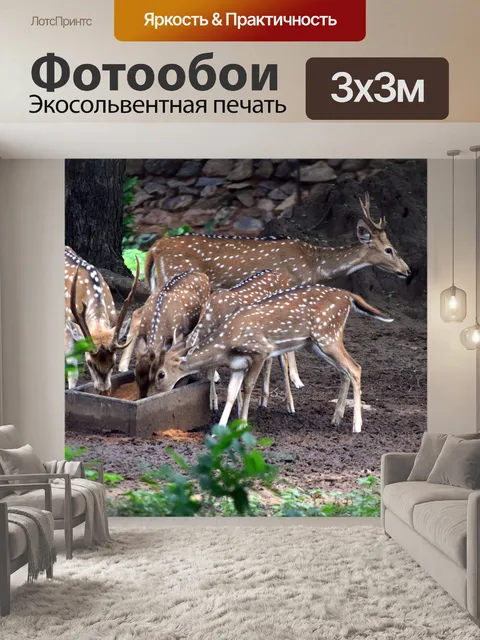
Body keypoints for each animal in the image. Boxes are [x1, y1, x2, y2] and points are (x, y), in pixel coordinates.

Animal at [146, 284, 394, 433]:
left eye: (160, 374)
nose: (149, 396)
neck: (227, 342)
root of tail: (348, 296)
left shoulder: (261, 351)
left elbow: (247, 387)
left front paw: (243, 424)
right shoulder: (237, 365)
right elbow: (231, 393)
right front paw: (221, 428)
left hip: (327, 335)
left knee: (355, 367)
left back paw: (356, 425)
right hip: (316, 343)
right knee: (345, 371)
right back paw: (336, 418)